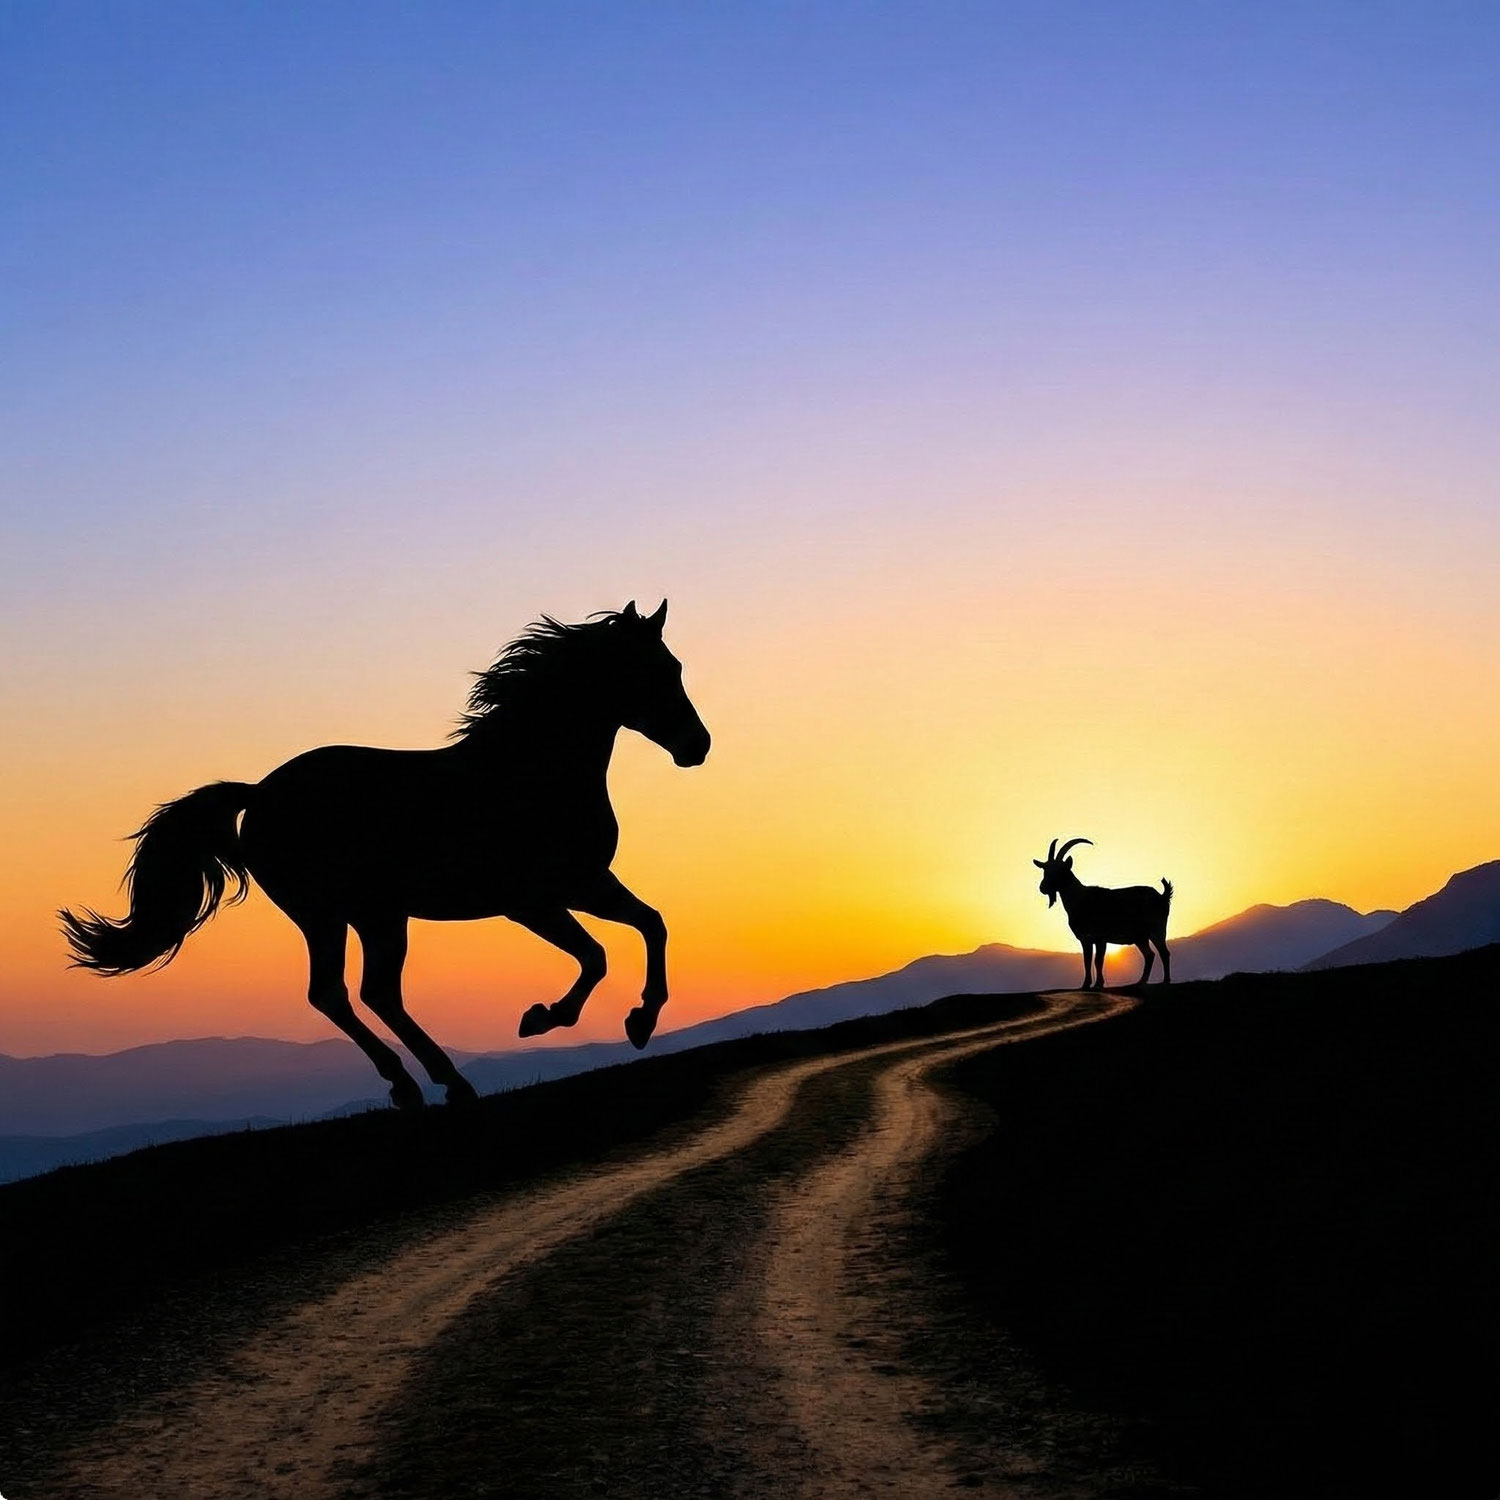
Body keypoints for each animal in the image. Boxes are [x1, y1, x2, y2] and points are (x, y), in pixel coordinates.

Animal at [60, 600, 711, 1109]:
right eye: (655, 668)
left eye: (674, 666)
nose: (697, 746)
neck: (529, 773)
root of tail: (261, 793)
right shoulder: (533, 901)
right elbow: (596, 956)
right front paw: (545, 1018)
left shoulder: (586, 882)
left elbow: (651, 923)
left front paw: (641, 1021)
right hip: (336, 915)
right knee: (347, 993)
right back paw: (432, 1082)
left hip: (370, 916)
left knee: (362, 993)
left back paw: (426, 1084)